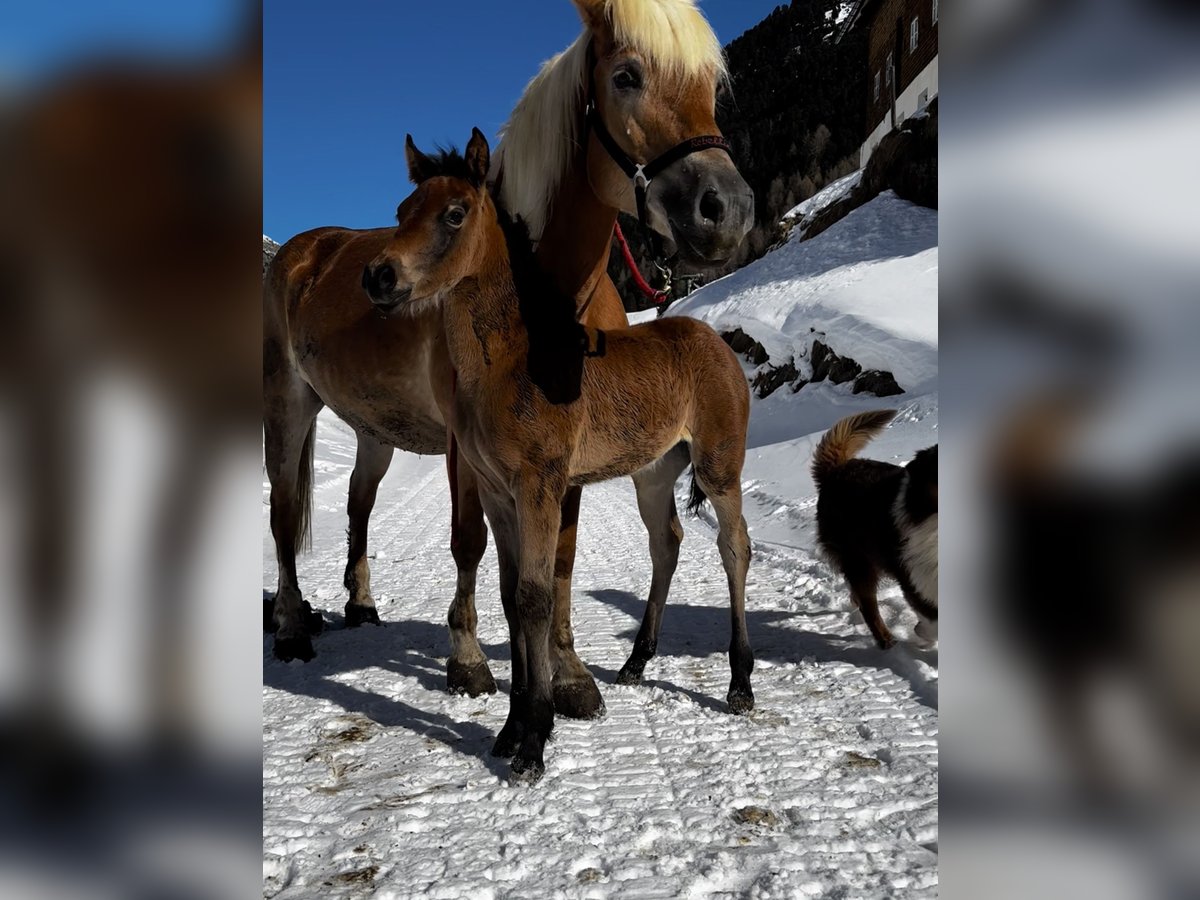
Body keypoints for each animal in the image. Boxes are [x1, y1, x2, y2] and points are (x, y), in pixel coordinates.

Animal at [265, 0, 748, 720]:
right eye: (626, 76)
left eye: (711, 87)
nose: (725, 210)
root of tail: (300, 252)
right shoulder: (468, 450)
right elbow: (472, 544)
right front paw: (468, 662)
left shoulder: (564, 462)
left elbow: (560, 562)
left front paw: (569, 674)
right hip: (289, 403)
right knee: (282, 508)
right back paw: (294, 625)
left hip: (374, 431)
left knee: (357, 505)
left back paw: (360, 604)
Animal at [816, 412, 936, 652]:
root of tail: (835, 471)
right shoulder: (915, 577)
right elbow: (933, 621)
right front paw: (921, 632)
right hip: (857, 559)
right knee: (869, 606)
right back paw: (886, 639)